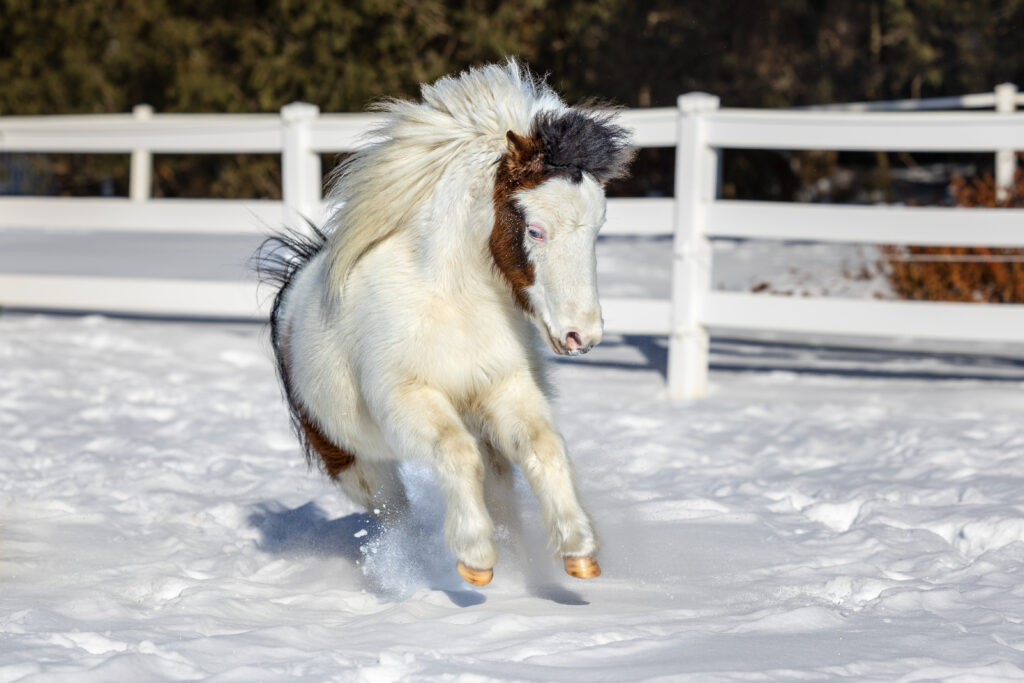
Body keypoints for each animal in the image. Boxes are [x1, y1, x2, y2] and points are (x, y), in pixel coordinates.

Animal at [257, 61, 631, 587]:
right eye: (535, 229)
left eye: (598, 227)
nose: (583, 336)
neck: (454, 305)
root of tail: (292, 291)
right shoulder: (408, 400)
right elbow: (454, 451)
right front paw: (474, 559)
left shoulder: (504, 388)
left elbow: (544, 447)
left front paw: (578, 550)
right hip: (357, 464)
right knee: (396, 516)